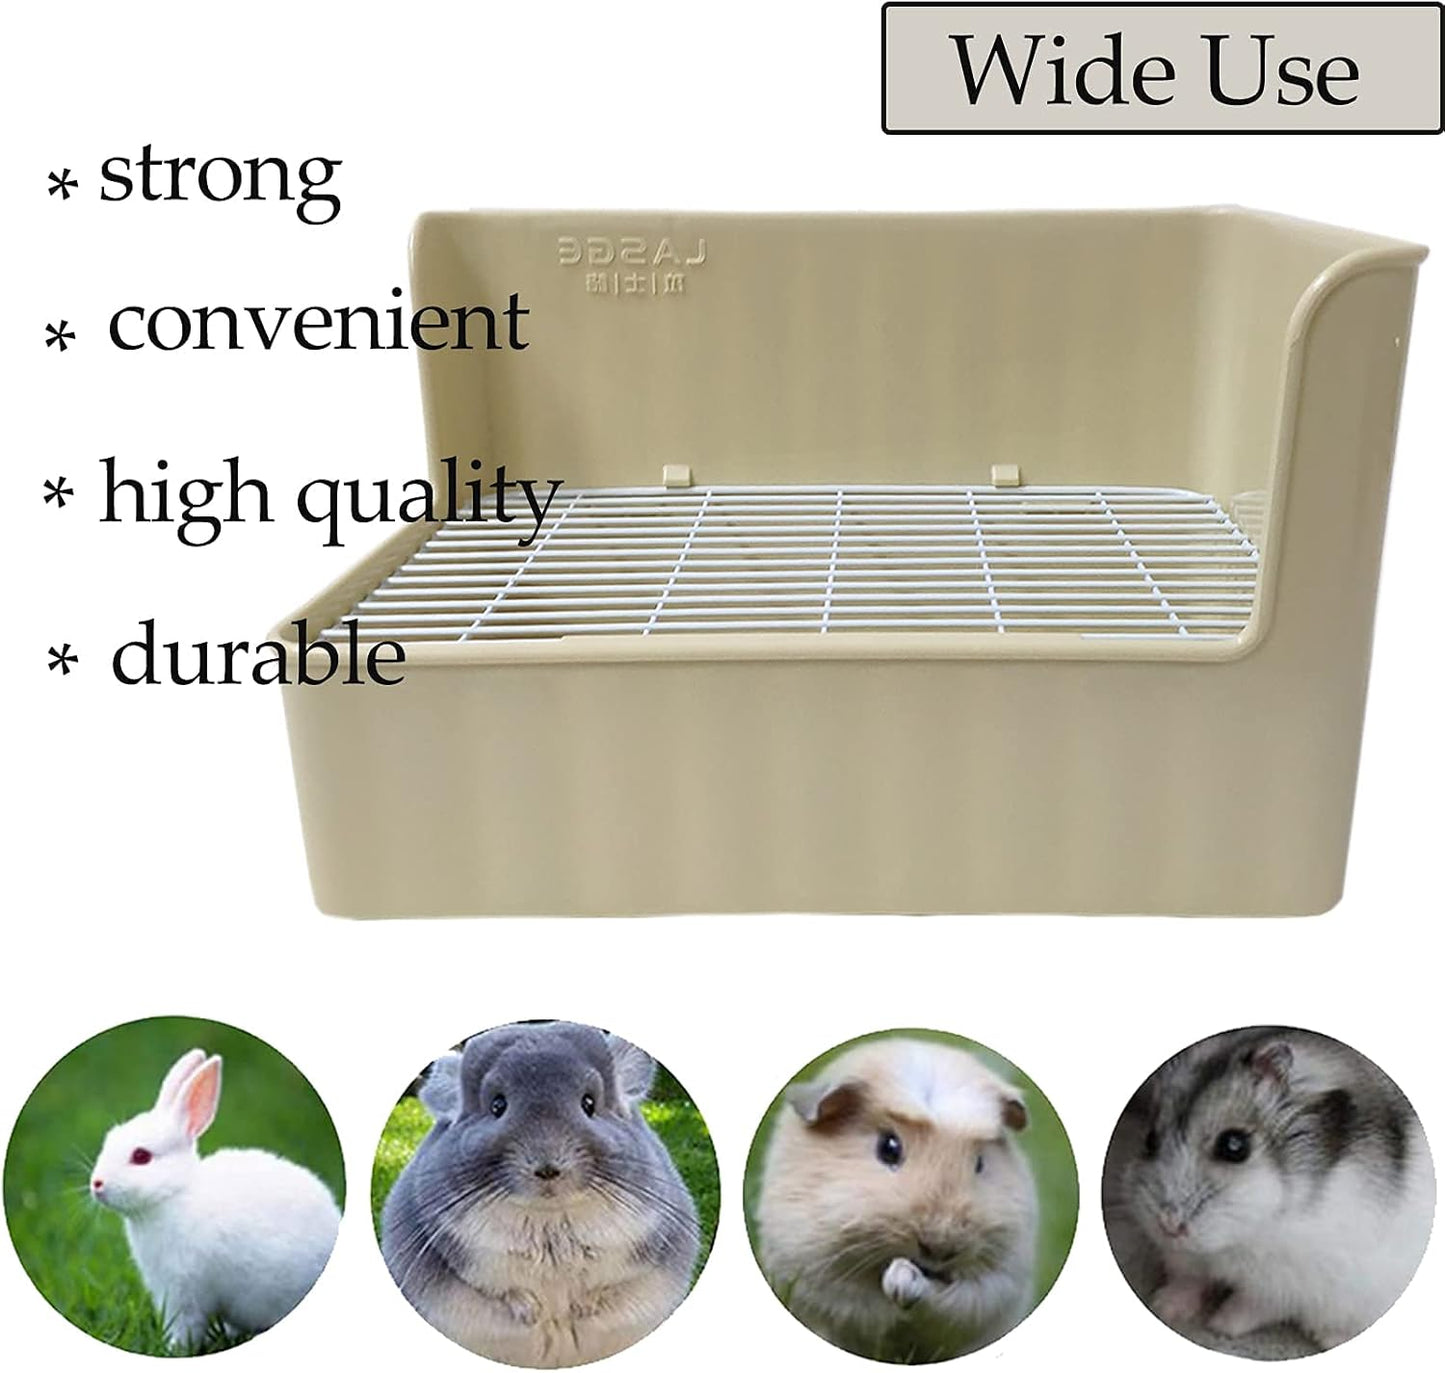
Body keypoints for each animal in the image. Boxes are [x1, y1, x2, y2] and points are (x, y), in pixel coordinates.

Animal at [89, 1048, 342, 1351]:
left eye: (141, 1156)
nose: (96, 1183)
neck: (174, 1194)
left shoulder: (184, 1291)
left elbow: (185, 1326)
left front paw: (174, 1349)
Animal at [381, 1021, 700, 1368]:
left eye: (589, 1104)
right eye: (497, 1106)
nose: (547, 1168)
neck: (549, 1217)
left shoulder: (641, 1242)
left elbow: (608, 1280)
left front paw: (582, 1308)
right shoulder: (466, 1252)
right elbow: (501, 1287)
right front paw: (531, 1312)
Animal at [754, 1036, 1039, 1363]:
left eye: (980, 1163)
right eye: (888, 1148)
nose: (940, 1248)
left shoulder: (999, 1282)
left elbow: (956, 1301)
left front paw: (907, 1282)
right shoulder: (816, 1269)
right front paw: (901, 1280)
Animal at [1108, 1026, 1435, 1352]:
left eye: (1235, 1145)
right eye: (1150, 1140)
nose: (1169, 1226)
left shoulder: (1288, 1283)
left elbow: (1252, 1305)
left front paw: (1220, 1325)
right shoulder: (1185, 1259)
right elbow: (1189, 1280)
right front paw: (1164, 1306)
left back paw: (1328, 1337)